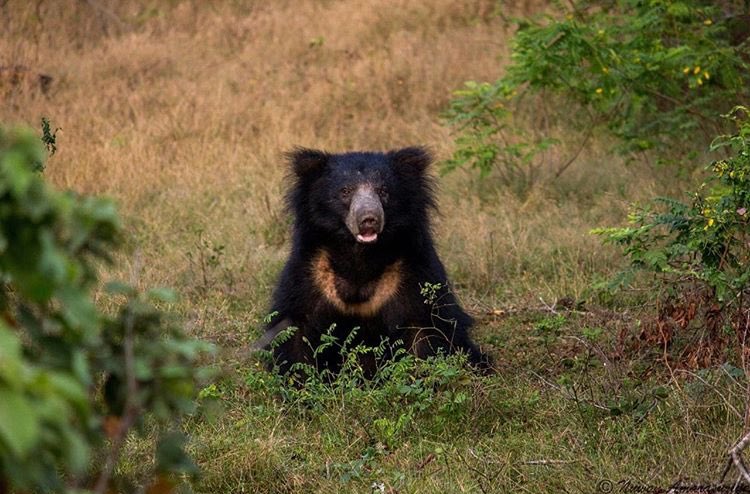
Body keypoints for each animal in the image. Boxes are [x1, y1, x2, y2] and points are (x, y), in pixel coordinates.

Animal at [255, 146, 491, 376]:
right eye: (345, 191)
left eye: (383, 191)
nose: (369, 219)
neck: (361, 253)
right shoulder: (311, 274)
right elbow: (294, 331)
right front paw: (298, 380)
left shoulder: (413, 271)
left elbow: (425, 329)